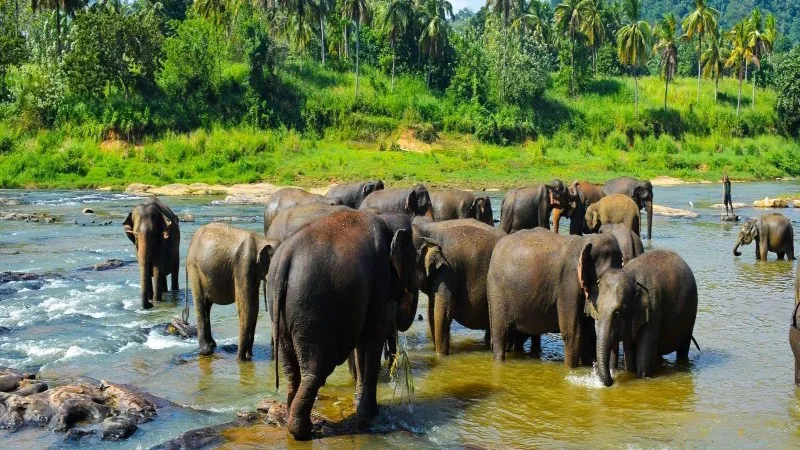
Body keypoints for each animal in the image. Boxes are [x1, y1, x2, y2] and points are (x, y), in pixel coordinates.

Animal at [186, 223, 276, 360]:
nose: (243, 357)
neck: (263, 239)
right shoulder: (244, 265)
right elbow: (245, 307)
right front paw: (241, 359)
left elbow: (254, 306)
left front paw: (249, 356)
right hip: (194, 268)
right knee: (200, 304)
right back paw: (206, 350)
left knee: (207, 306)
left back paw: (212, 344)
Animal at [268, 211, 418, 440]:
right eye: (416, 260)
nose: (406, 297)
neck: (385, 220)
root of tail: (286, 257)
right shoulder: (380, 279)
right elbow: (374, 336)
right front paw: (370, 413)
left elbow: (362, 343)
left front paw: (359, 401)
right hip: (312, 313)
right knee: (315, 371)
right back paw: (305, 431)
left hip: (281, 315)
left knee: (291, 371)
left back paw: (293, 422)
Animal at [488, 229, 624, 366]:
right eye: (599, 283)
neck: (585, 241)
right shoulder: (568, 285)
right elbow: (572, 334)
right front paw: (570, 368)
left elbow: (587, 333)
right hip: (497, 293)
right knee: (500, 333)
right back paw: (499, 361)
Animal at [592, 250, 700, 386]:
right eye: (597, 310)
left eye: (618, 313)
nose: (613, 379)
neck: (630, 275)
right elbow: (629, 352)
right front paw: (630, 373)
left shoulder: (654, 308)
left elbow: (644, 353)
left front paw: (642, 377)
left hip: (691, 315)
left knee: (683, 348)